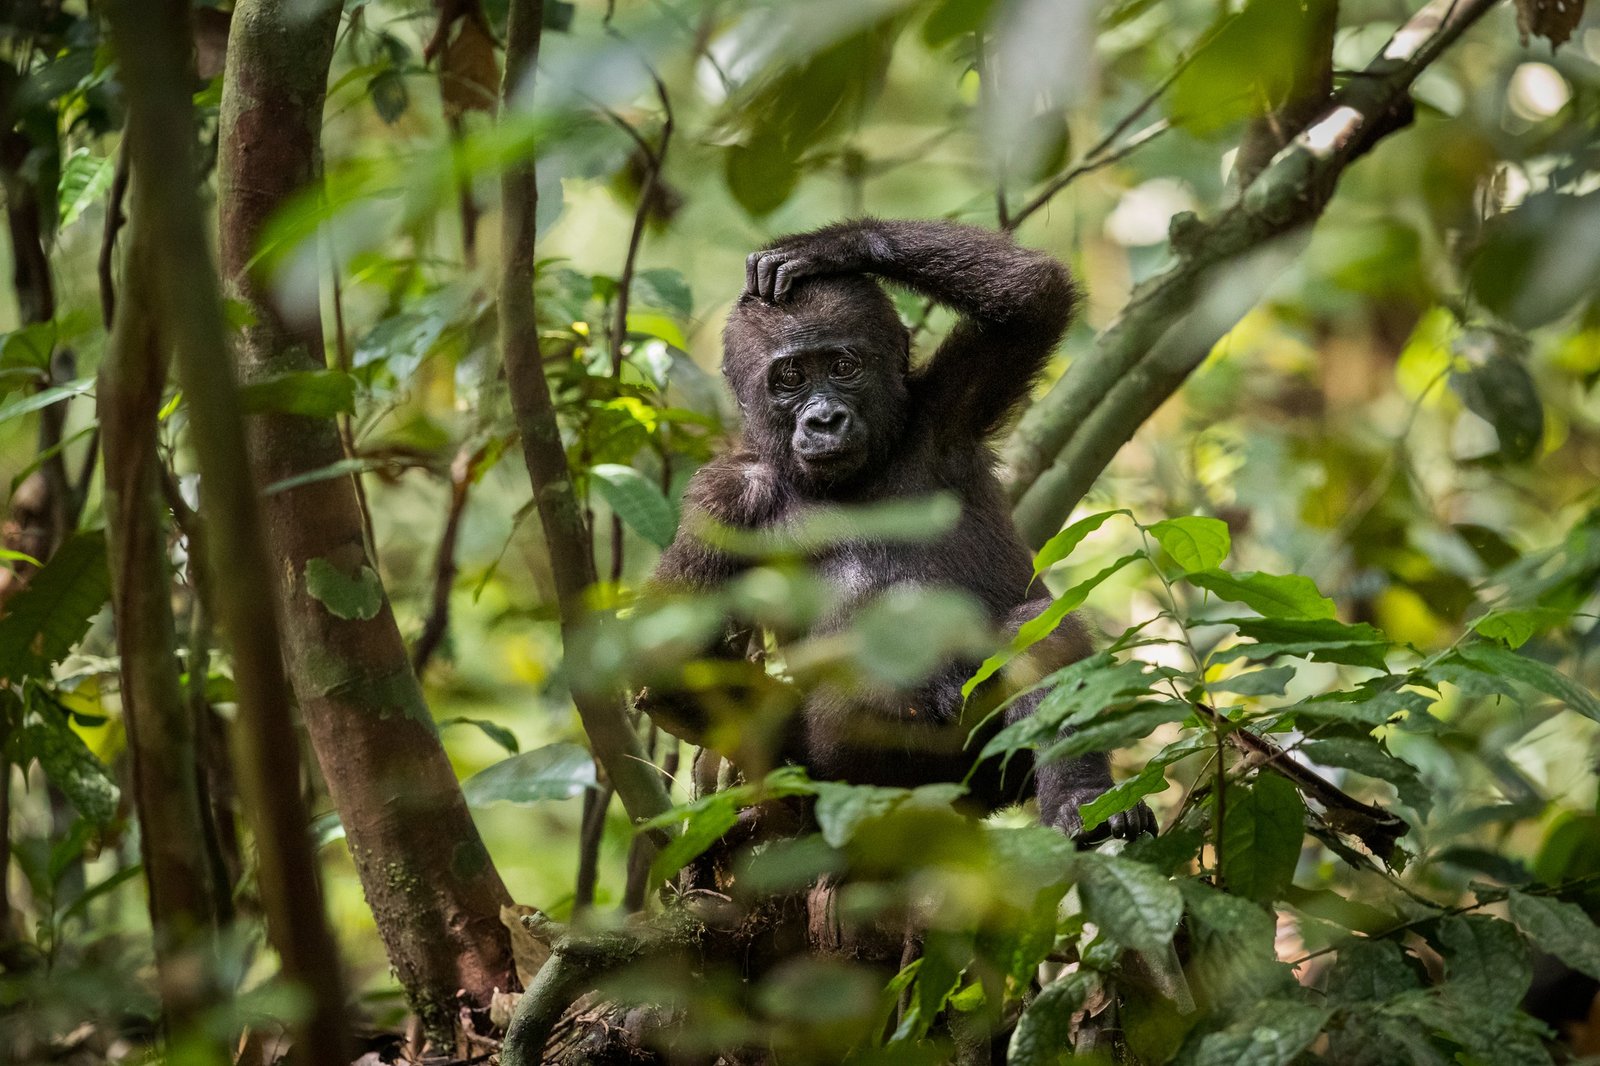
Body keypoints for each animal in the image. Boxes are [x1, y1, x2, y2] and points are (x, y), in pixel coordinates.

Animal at [643, 219, 1158, 845]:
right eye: (790, 378)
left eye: (843, 367)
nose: (825, 419)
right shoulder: (723, 501)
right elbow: (668, 663)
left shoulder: (945, 410)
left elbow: (1031, 296)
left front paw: (825, 248)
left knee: (1039, 629)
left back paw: (1082, 801)